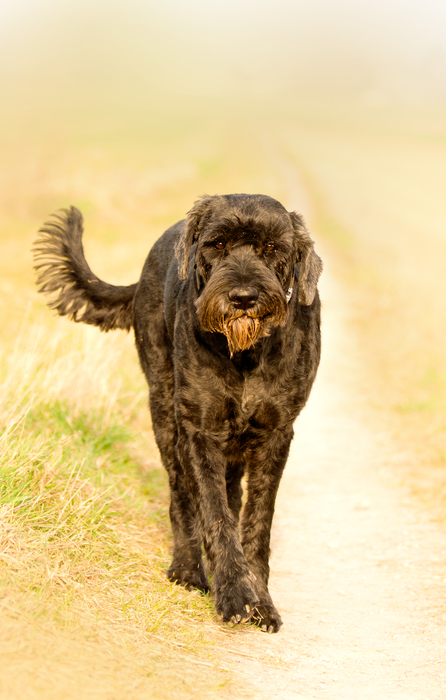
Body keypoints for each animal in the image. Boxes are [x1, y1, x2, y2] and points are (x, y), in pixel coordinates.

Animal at [34, 194, 320, 632]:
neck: (245, 356)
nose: (243, 297)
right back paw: (188, 568)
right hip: (165, 415)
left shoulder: (275, 435)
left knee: (230, 495)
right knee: (183, 496)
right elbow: (214, 514)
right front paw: (235, 594)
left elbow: (257, 521)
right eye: (218, 244)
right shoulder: (199, 429)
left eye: (272, 248)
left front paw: (261, 600)